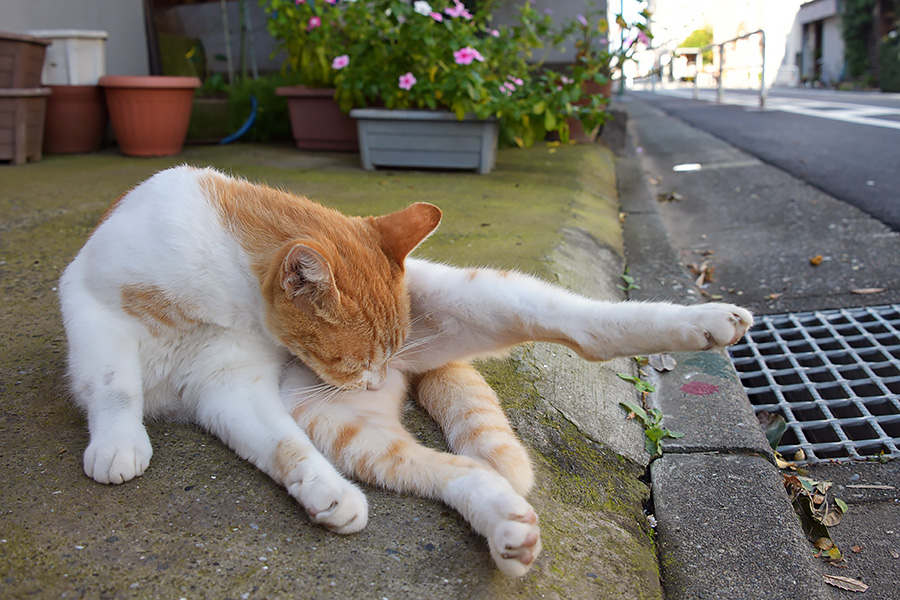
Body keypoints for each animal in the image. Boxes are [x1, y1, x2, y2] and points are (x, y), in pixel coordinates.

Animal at [59, 166, 752, 580]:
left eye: (372, 358)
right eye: (351, 360)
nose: (373, 380)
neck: (227, 293)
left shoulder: (233, 382)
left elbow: (281, 446)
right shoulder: (103, 318)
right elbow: (119, 386)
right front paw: (119, 444)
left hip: (490, 302)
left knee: (584, 326)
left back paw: (708, 323)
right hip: (341, 424)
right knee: (446, 469)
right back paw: (506, 527)